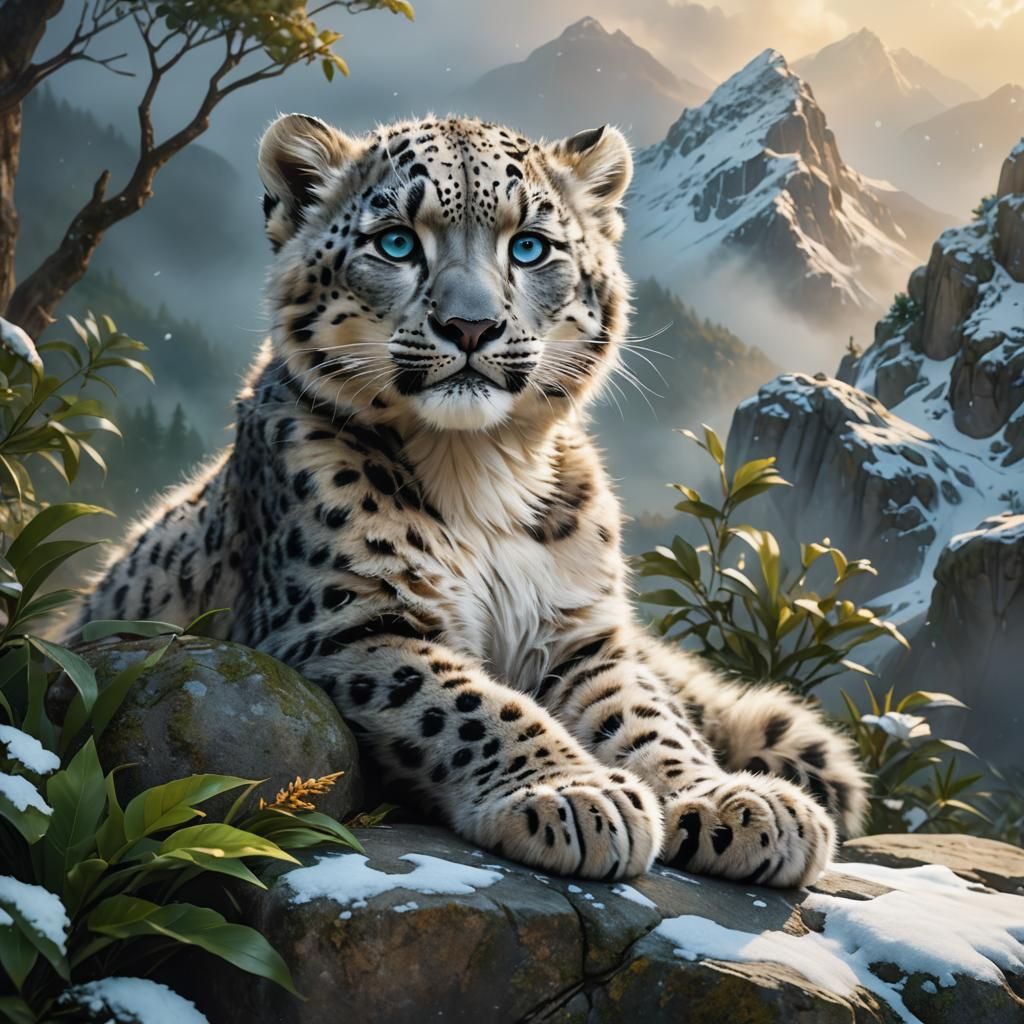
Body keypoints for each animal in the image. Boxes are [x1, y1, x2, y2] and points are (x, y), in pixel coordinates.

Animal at [67, 111, 868, 886]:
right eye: (395, 242)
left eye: (531, 247)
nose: (471, 325)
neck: (483, 472)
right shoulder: (346, 624)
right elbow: (469, 705)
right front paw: (573, 794)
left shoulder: (583, 636)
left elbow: (648, 718)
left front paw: (734, 803)